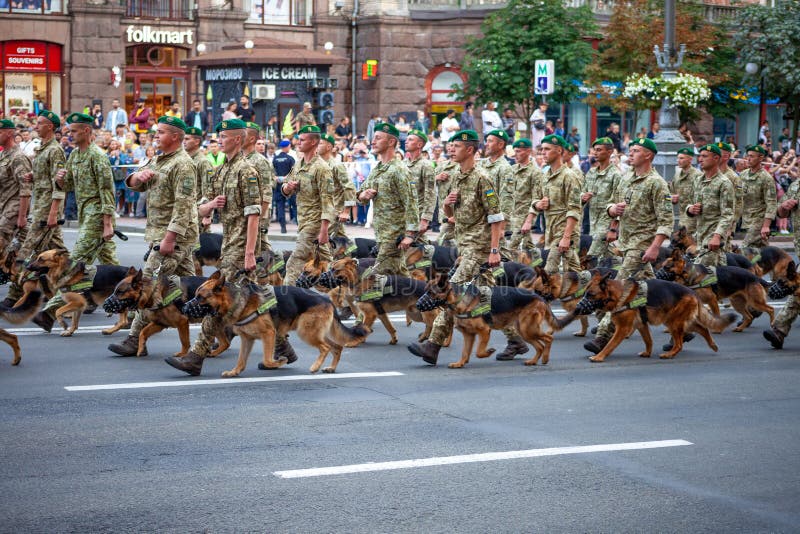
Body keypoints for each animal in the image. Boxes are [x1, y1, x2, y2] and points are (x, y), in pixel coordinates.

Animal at [183, 272, 368, 376]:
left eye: (200, 297)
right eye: (196, 295)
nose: (183, 307)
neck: (239, 300)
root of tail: (327, 299)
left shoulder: (269, 334)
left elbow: (267, 359)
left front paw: (279, 362)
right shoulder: (247, 339)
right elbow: (241, 360)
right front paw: (234, 372)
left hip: (306, 332)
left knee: (326, 347)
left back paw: (315, 367)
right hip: (315, 332)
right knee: (337, 347)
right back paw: (331, 368)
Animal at [418, 274, 564, 370]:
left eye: (430, 293)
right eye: (426, 291)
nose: (418, 305)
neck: (459, 299)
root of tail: (539, 297)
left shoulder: (484, 331)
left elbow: (478, 352)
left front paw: (488, 352)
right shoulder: (469, 335)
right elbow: (465, 352)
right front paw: (460, 363)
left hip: (527, 329)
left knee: (548, 338)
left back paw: (545, 358)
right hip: (524, 331)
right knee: (540, 346)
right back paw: (533, 361)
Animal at [564, 272, 736, 364]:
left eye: (590, 294)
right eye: (585, 293)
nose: (577, 308)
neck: (618, 295)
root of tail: (692, 292)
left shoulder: (623, 329)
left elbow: (610, 345)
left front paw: (599, 357)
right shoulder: (641, 325)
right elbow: (648, 340)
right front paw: (647, 353)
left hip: (673, 322)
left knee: (680, 343)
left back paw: (670, 354)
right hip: (680, 321)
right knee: (703, 328)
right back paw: (712, 345)